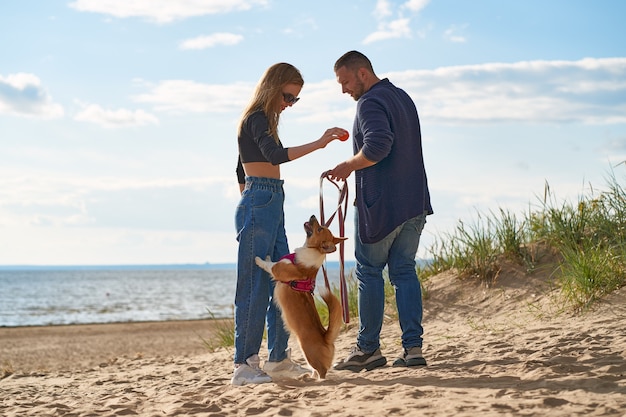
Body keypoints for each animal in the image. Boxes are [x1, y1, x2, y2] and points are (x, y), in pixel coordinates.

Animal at [255, 216, 346, 378]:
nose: (313, 215)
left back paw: (315, 380)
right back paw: (309, 377)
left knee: (322, 371)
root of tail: (325, 338)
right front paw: (267, 256)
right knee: (317, 370)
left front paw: (258, 259)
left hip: (307, 353)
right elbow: (270, 260)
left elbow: (268, 265)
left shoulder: (278, 269)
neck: (312, 251)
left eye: (319, 229)